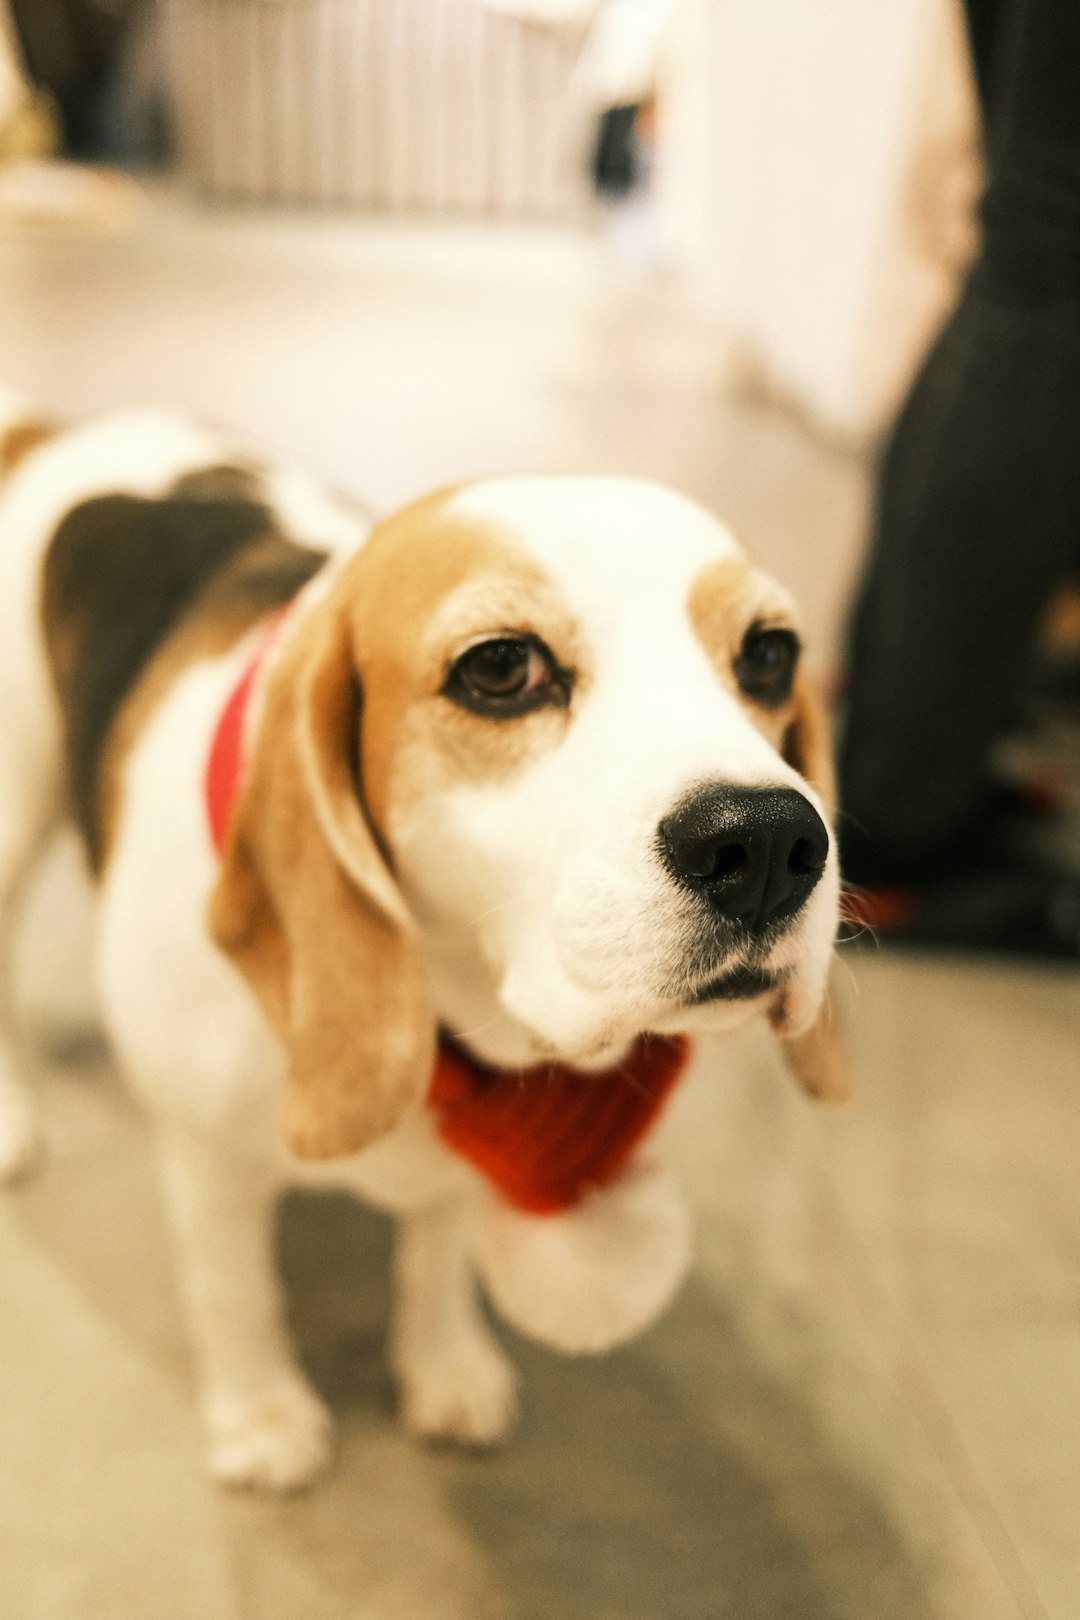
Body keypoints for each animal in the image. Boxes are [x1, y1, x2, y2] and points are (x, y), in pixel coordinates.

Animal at [0, 388, 841, 1490]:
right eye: (500, 667)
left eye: (770, 655)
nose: (773, 842)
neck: (452, 1004)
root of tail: (56, 428)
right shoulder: (208, 1158)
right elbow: (234, 1293)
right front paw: (263, 1419)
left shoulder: (461, 1167)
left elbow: (435, 1262)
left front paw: (446, 1371)